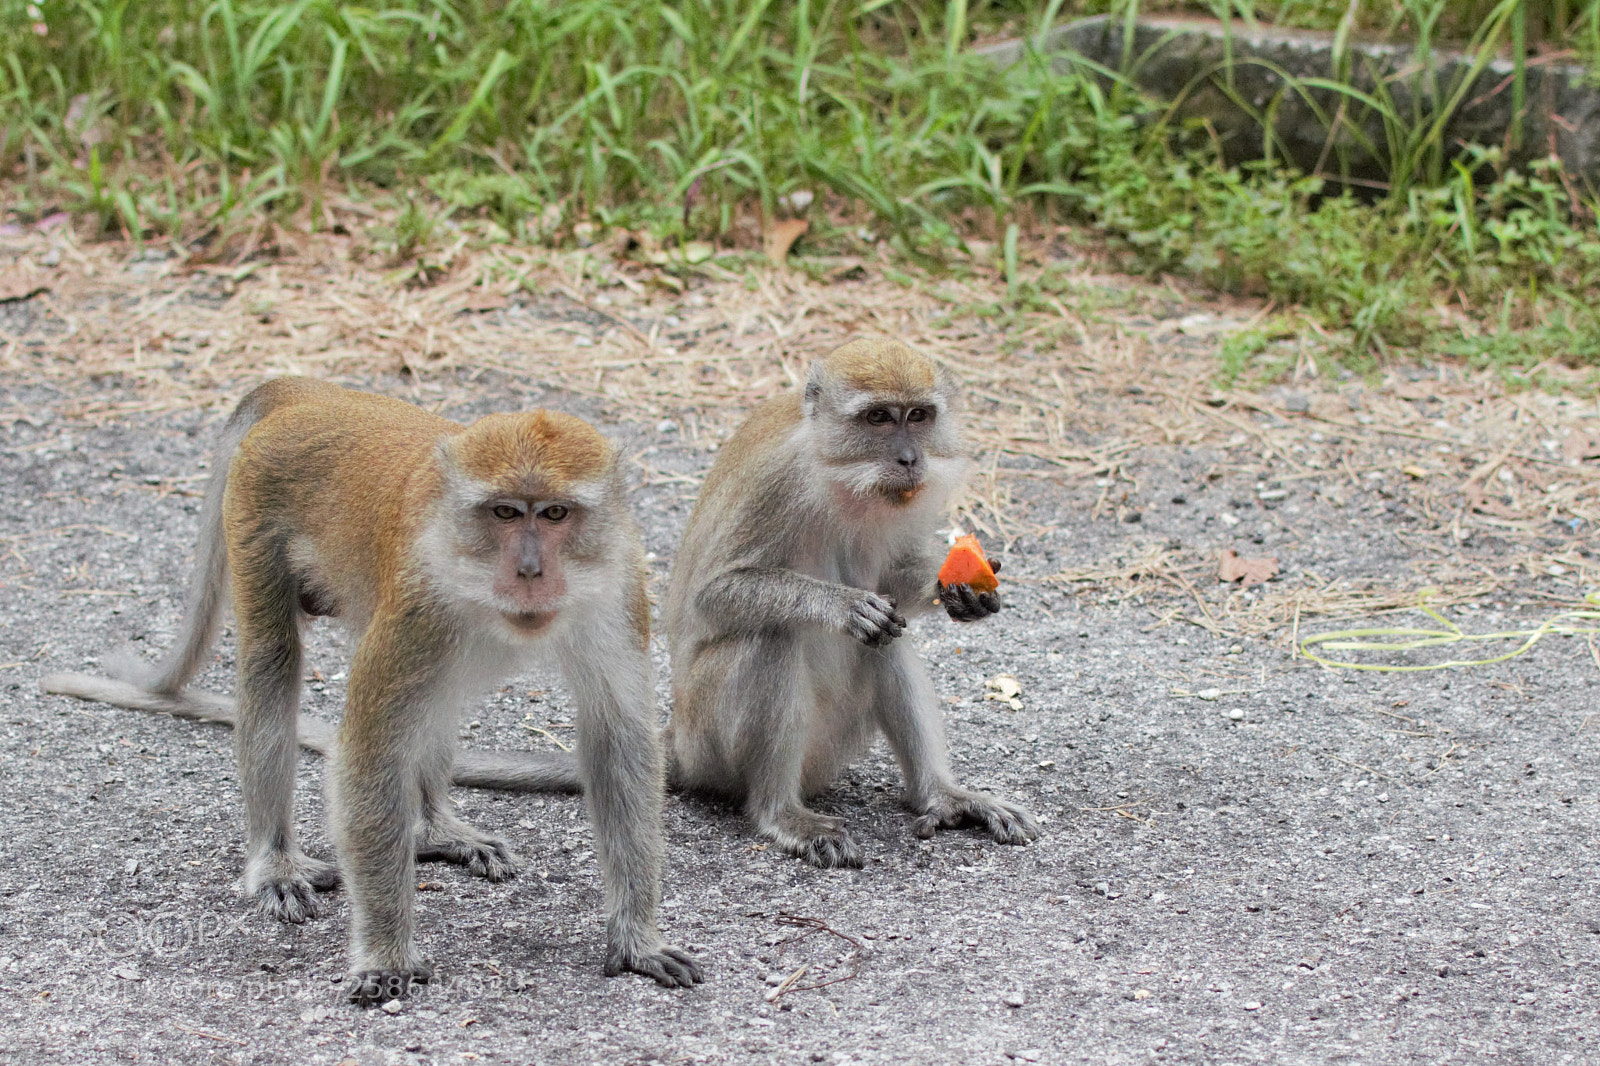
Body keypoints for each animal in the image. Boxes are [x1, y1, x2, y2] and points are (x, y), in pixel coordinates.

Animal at [41, 377, 700, 1003]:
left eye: (557, 514)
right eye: (507, 514)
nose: (531, 571)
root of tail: (312, 396)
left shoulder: (619, 584)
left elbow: (618, 742)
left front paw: (637, 939)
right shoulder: (419, 602)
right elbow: (368, 752)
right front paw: (387, 954)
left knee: (435, 696)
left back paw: (434, 829)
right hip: (253, 506)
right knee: (272, 662)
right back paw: (275, 860)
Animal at [661, 338, 1040, 868]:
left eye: (918, 416)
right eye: (878, 417)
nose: (909, 458)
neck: (841, 475)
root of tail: (676, 743)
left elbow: (893, 580)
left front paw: (962, 591)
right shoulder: (775, 483)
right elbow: (711, 595)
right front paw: (842, 606)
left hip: (828, 746)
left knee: (886, 642)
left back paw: (942, 796)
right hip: (706, 742)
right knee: (769, 635)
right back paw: (780, 813)